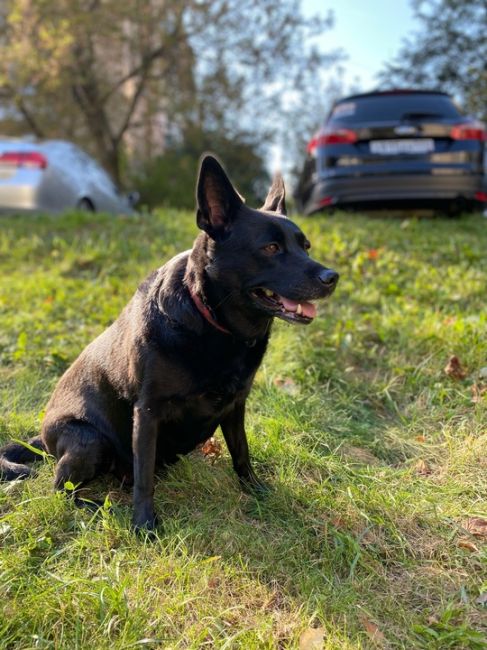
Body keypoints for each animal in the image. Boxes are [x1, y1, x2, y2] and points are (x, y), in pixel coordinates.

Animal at [0, 154, 340, 528]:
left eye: (305, 247)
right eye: (271, 247)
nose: (332, 277)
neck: (215, 325)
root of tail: (43, 440)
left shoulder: (236, 406)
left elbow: (242, 453)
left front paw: (255, 490)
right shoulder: (148, 412)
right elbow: (144, 476)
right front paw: (143, 524)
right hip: (88, 440)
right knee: (60, 487)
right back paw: (97, 507)